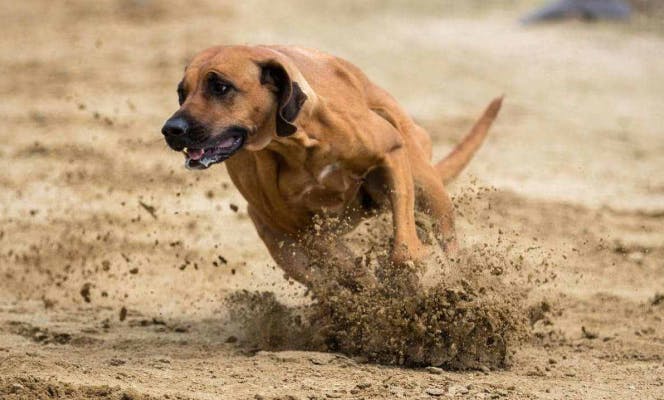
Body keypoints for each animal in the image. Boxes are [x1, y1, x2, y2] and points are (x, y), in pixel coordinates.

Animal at [162, 45, 504, 286]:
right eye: (181, 93)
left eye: (220, 87)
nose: (171, 129)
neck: (295, 143)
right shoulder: (300, 228)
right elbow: (345, 266)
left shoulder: (392, 153)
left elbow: (403, 247)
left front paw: (408, 269)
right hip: (279, 239)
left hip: (426, 185)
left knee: (444, 235)